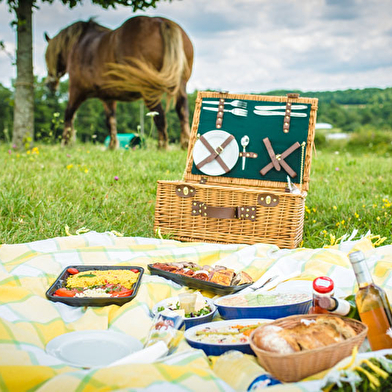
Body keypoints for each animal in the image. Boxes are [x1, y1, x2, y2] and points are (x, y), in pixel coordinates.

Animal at [43, 16, 194, 149]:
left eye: (48, 57)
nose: (49, 85)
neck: (80, 44)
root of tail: (162, 22)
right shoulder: (108, 97)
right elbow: (111, 121)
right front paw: (112, 146)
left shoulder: (76, 90)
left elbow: (69, 114)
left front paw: (66, 143)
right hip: (180, 85)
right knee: (182, 111)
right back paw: (185, 144)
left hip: (150, 90)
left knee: (160, 116)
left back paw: (162, 147)